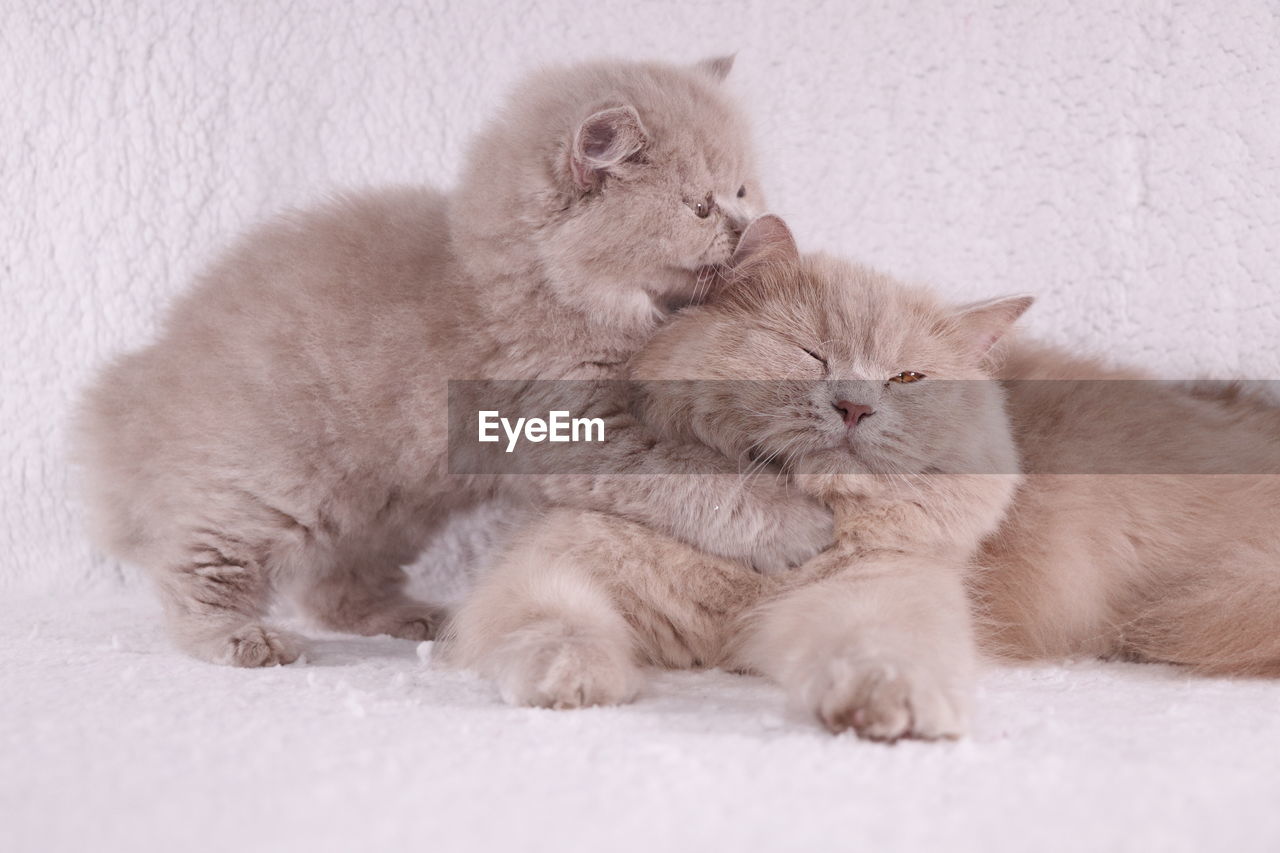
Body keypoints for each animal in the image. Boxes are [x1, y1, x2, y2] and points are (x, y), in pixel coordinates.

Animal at [72, 61, 829, 671]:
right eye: (700, 206)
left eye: (743, 190)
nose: (745, 224)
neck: (546, 289)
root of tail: (140, 388)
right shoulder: (575, 430)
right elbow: (695, 477)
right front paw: (794, 523)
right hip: (275, 484)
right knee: (198, 559)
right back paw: (236, 637)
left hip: (386, 507)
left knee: (332, 587)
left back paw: (408, 617)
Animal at [442, 213, 1280, 737]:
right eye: (809, 353)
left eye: (906, 376)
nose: (853, 405)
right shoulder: (555, 562)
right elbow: (555, 624)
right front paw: (577, 678)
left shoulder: (881, 585)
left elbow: (883, 650)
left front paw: (890, 711)